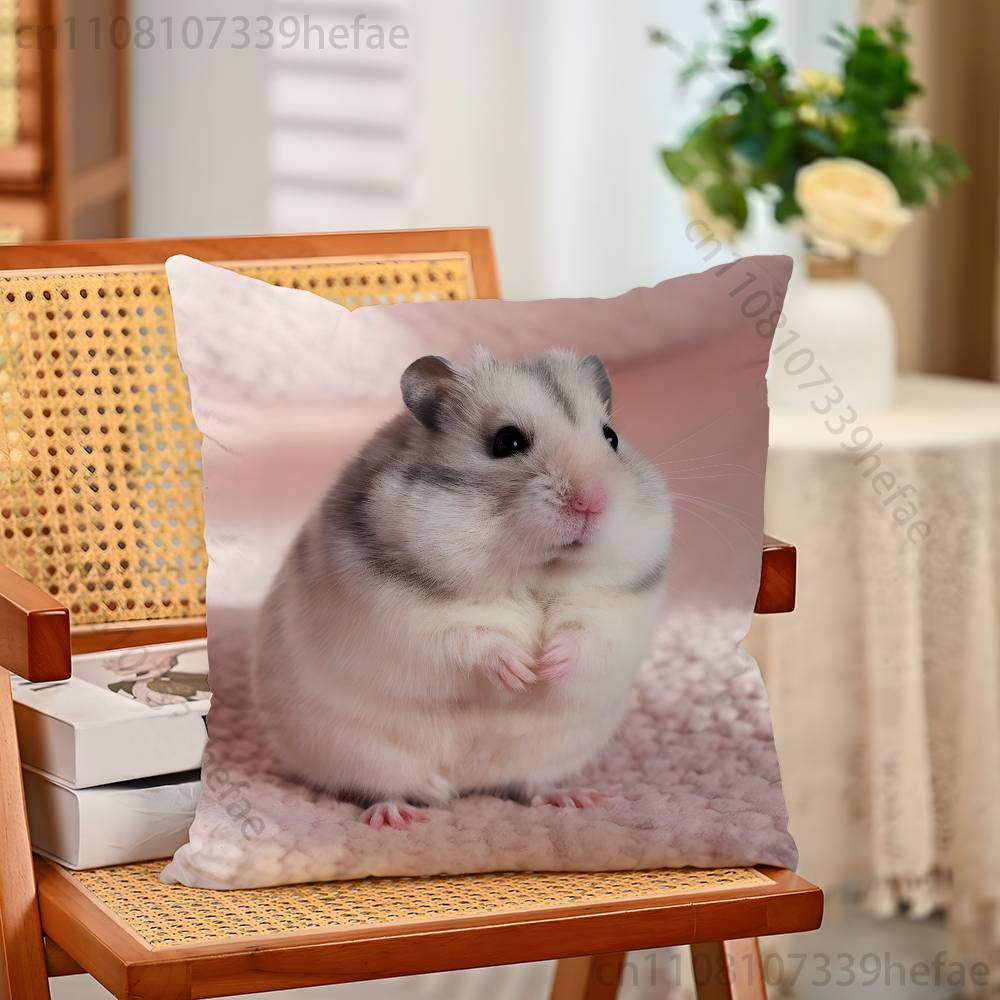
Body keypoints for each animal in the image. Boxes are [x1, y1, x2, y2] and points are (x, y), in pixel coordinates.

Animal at [253, 348, 672, 828]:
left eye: (611, 436)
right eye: (507, 442)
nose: (593, 502)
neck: (534, 573)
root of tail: (470, 784)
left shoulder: (617, 608)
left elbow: (585, 636)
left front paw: (546, 666)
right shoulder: (407, 618)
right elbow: (473, 639)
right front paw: (522, 671)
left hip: (551, 755)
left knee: (532, 784)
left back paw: (573, 798)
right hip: (361, 753)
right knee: (384, 788)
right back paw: (396, 818)